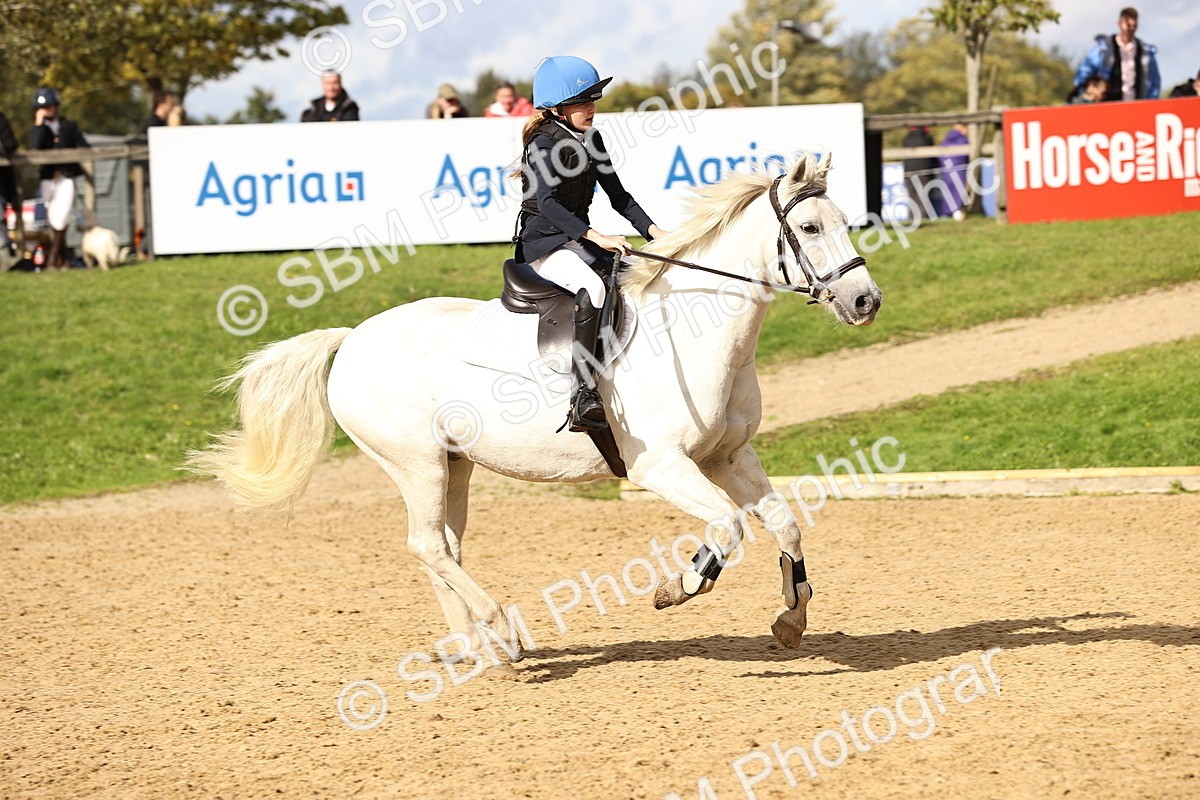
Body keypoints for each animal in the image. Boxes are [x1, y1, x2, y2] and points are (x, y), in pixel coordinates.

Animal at [186, 151, 882, 662]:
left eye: (845, 220)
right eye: (810, 228)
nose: (865, 301)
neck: (694, 328)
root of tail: (351, 338)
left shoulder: (729, 456)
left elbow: (785, 525)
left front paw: (791, 620)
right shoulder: (660, 466)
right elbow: (729, 527)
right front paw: (676, 589)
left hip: (453, 465)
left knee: (443, 547)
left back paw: (482, 649)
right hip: (415, 463)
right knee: (427, 545)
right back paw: (501, 631)